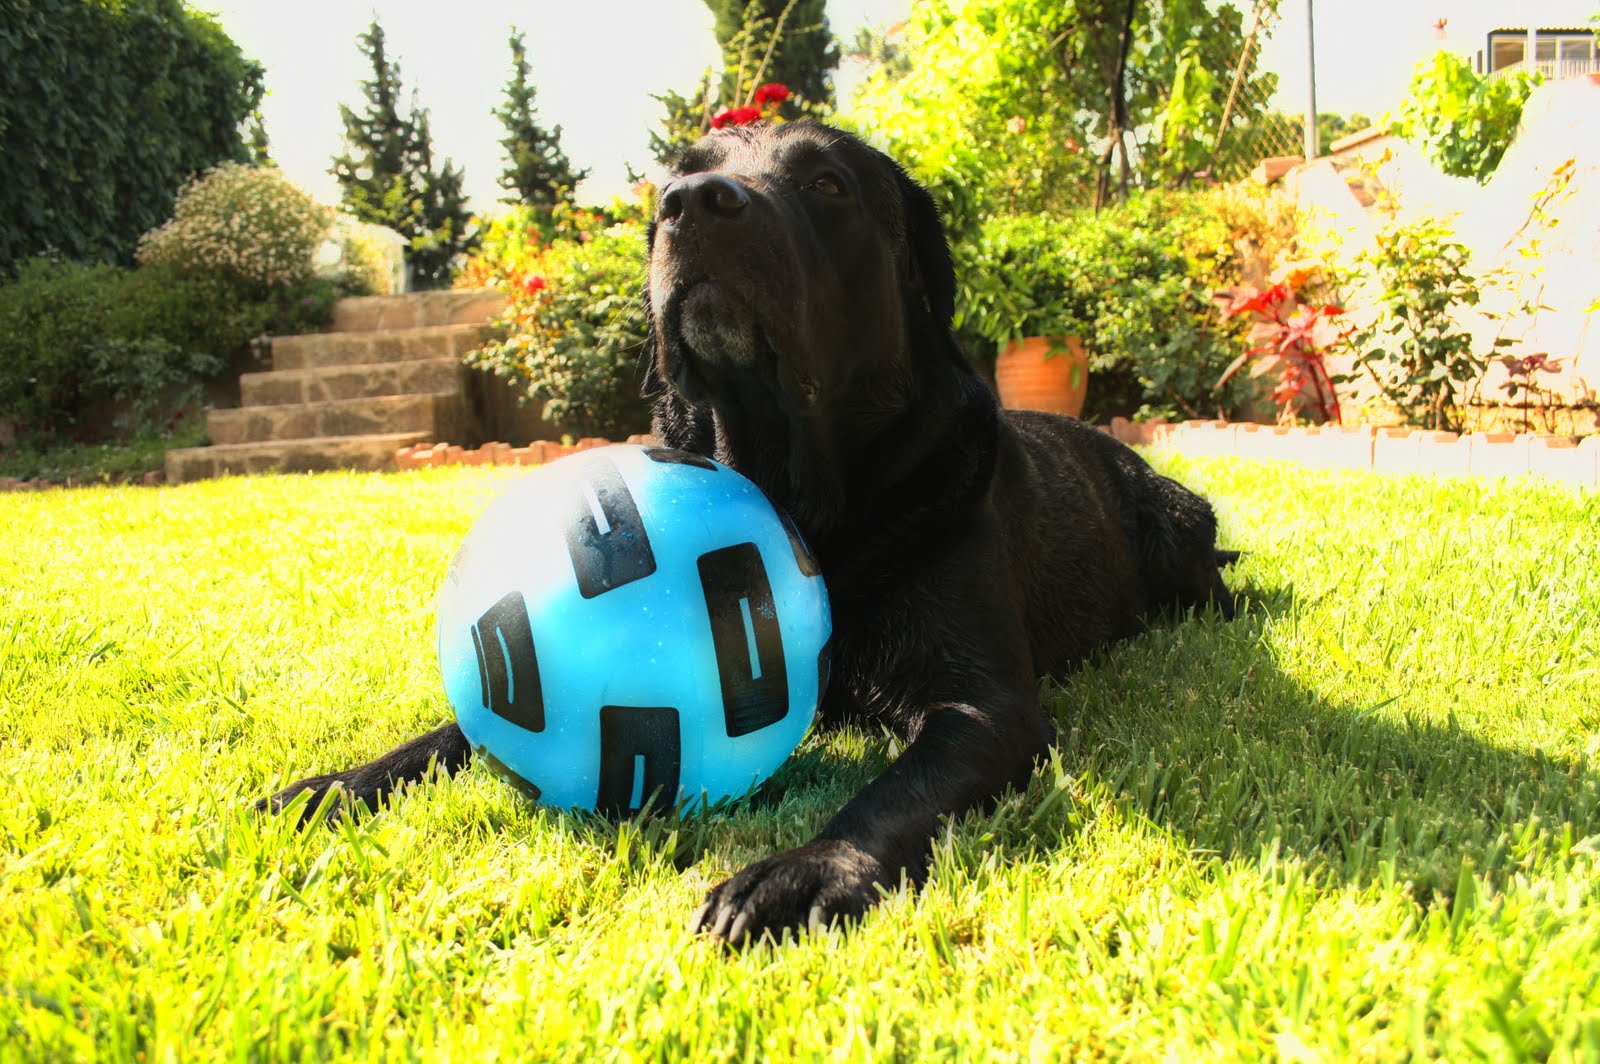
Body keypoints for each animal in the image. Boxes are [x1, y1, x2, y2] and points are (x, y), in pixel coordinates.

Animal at [261, 121, 1237, 947]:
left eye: (827, 182)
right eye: (677, 178)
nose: (693, 204)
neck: (799, 484)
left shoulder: (986, 708)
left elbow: (898, 788)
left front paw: (803, 870)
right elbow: (452, 733)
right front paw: (341, 783)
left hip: (1178, 529)